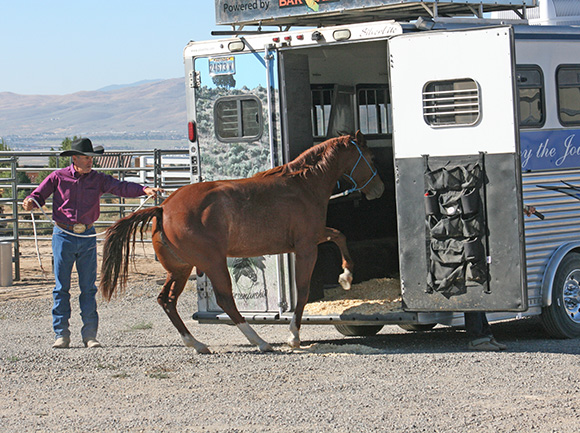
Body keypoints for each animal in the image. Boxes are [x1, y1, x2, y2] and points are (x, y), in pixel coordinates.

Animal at [99, 131, 386, 352]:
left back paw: (197, 344)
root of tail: (163, 208)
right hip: (213, 263)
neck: (302, 186)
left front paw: (346, 277)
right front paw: (293, 336)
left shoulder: (313, 237)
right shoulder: (306, 247)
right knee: (226, 300)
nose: (379, 189)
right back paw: (259, 341)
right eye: (371, 158)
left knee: (166, 300)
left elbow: (339, 235)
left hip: (180, 268)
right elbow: (303, 290)